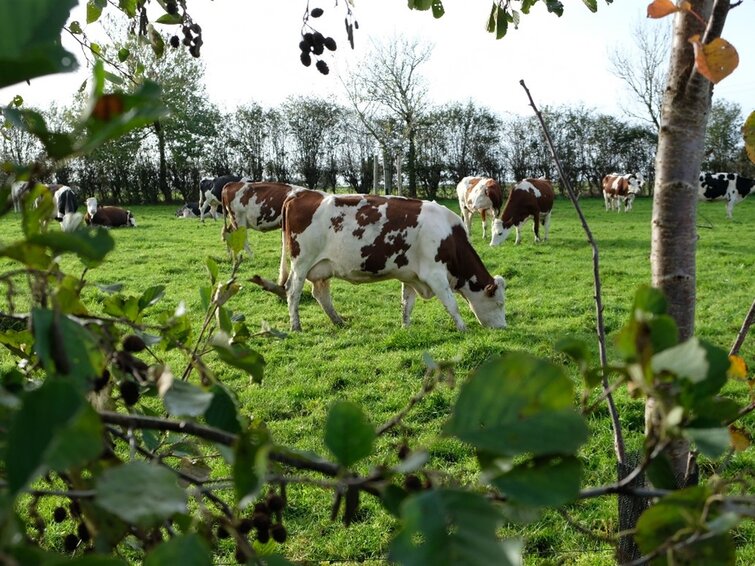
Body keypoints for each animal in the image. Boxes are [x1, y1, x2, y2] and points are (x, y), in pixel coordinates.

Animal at [280, 192, 507, 332]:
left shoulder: (411, 275)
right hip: (302, 262)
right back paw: (296, 326)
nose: (503, 328)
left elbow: (407, 304)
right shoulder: (434, 274)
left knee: (321, 294)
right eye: (500, 303)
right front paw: (463, 328)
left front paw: (405, 328)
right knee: (292, 291)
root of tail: (300, 194)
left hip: (322, 267)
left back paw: (339, 321)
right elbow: (451, 304)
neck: (448, 234)